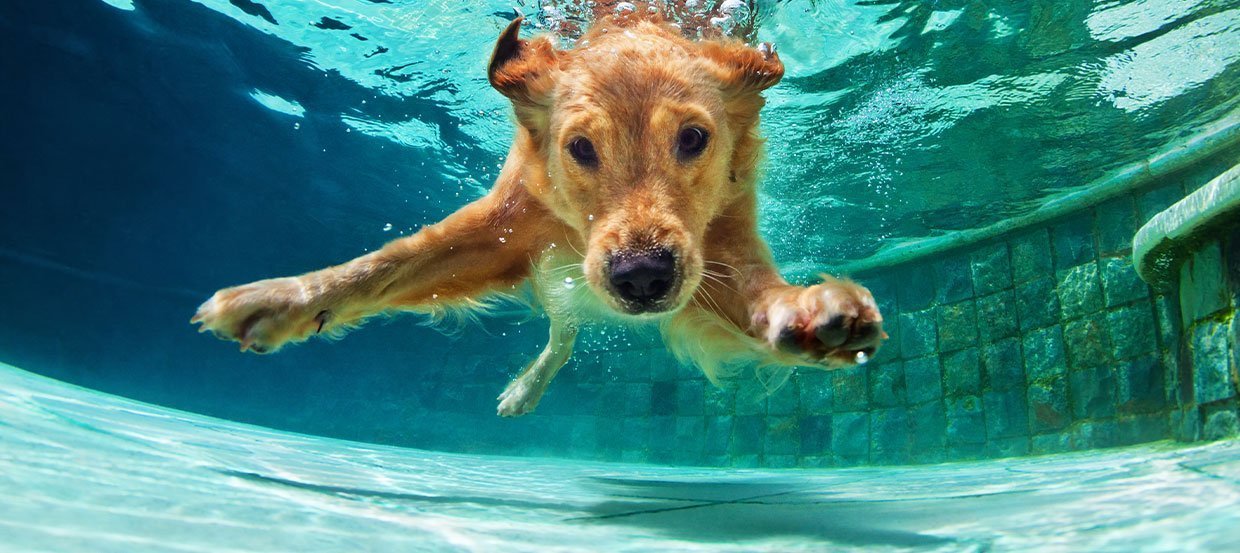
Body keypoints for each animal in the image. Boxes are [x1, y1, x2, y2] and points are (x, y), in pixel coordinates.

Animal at [190, 7, 882, 414]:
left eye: (693, 138)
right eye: (580, 147)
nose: (641, 278)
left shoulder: (721, 245)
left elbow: (759, 293)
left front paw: (809, 311)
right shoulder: (502, 228)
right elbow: (385, 265)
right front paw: (282, 299)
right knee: (562, 330)